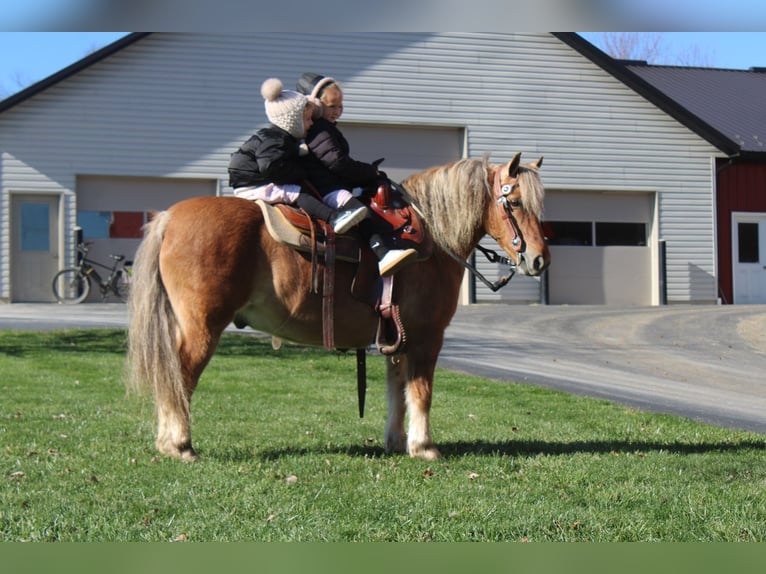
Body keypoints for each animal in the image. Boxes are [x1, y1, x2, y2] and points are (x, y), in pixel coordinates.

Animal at [126, 152, 549, 462]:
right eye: (514, 201)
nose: (539, 260)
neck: (431, 239)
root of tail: (170, 218)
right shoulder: (427, 338)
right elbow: (421, 390)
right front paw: (425, 447)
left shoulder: (398, 337)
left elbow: (397, 389)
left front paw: (397, 441)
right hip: (203, 327)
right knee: (180, 375)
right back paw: (180, 444)